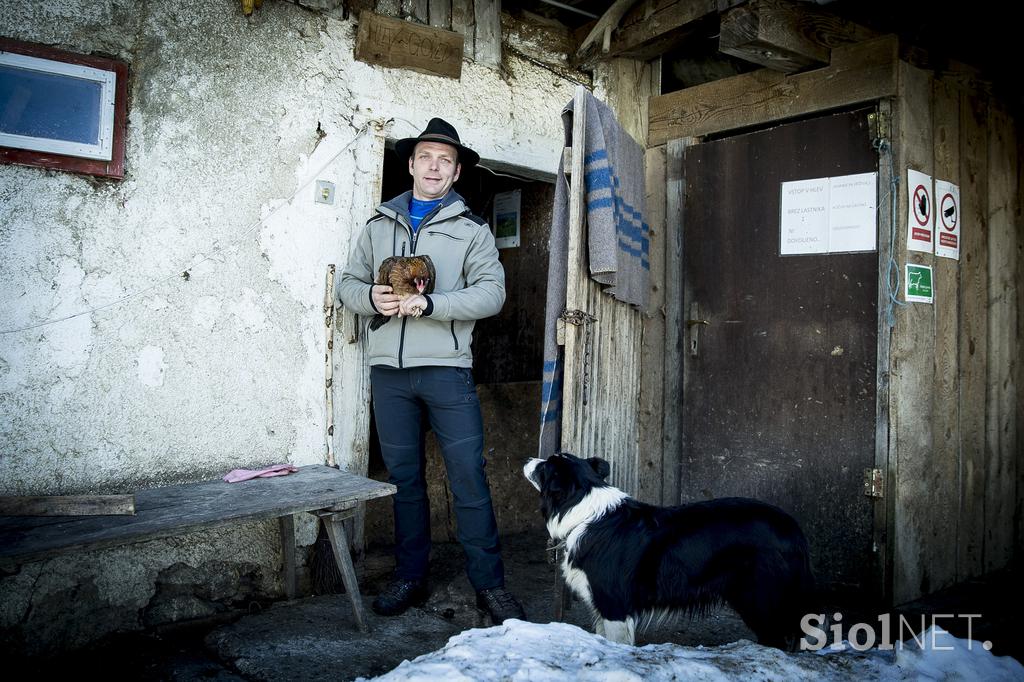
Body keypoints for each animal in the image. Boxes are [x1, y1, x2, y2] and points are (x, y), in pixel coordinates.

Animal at [528, 454, 815, 647]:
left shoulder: (614, 604)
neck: (583, 510)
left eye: (545, 466)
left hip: (761, 597)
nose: (530, 458)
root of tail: (793, 528)